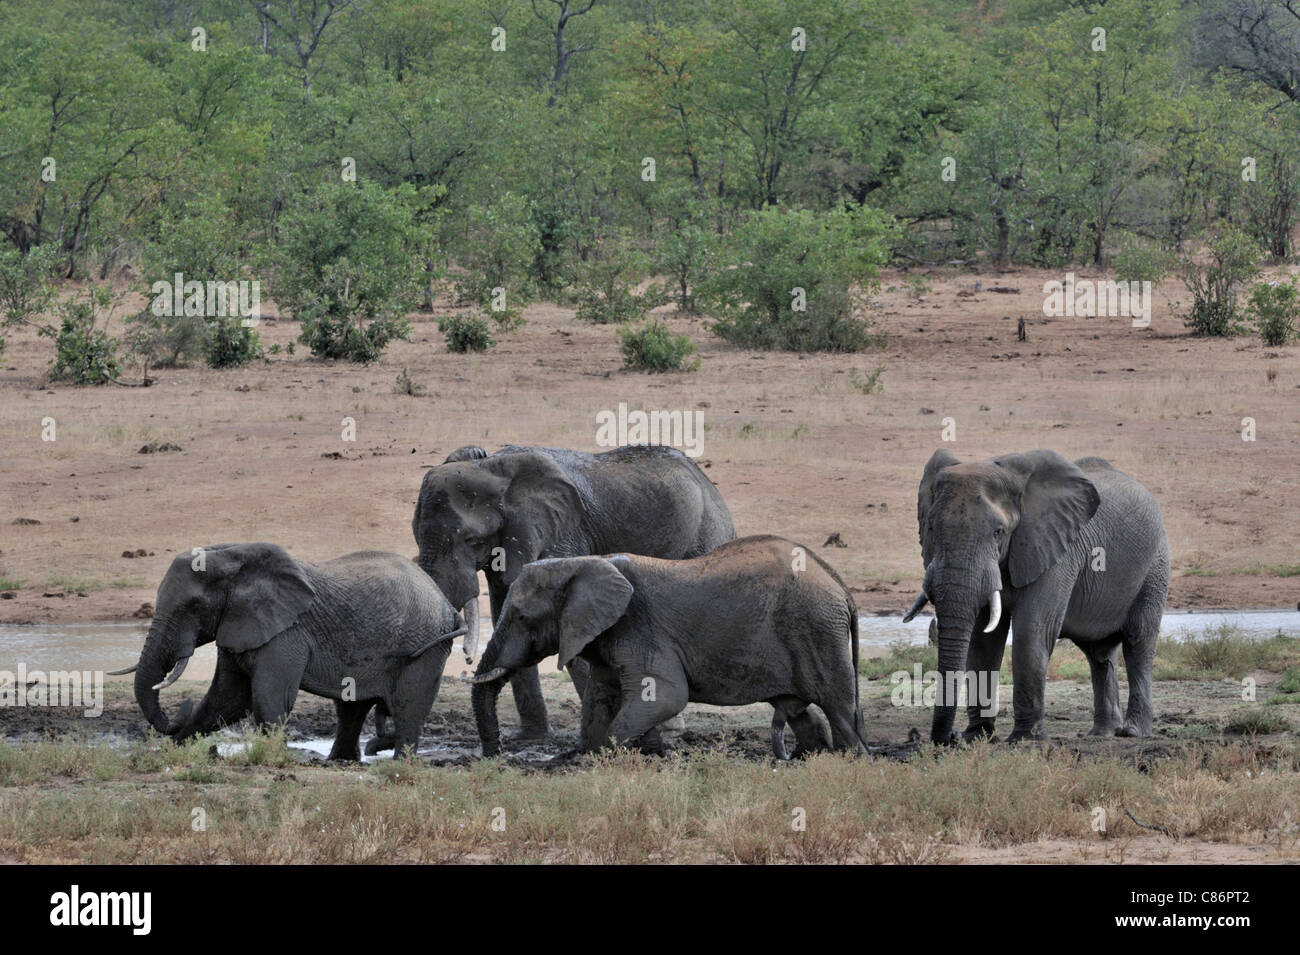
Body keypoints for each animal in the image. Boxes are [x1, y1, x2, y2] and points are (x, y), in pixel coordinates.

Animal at [110, 543, 466, 760]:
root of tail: (446, 604)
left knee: (408, 707)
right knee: (351, 708)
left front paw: (273, 757)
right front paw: (175, 750)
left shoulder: (285, 632)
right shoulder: (240, 625)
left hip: (426, 647)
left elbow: (267, 698)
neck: (233, 556)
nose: (181, 705)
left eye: (194, 607)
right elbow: (227, 699)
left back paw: (398, 763)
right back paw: (340, 761)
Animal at [411, 443, 735, 743]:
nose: (466, 660)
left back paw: (669, 730)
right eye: (416, 533)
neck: (491, 466)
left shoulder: (563, 533)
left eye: (473, 540)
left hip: (706, 536)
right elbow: (505, 606)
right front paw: (531, 739)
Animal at [469, 535, 869, 758]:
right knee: (801, 710)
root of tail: (840, 585)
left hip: (817, 630)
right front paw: (589, 756)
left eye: (522, 616)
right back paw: (807, 759)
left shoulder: (639, 627)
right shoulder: (607, 634)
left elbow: (664, 695)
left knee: (839, 708)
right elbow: (601, 696)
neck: (582, 564)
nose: (495, 756)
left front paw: (602, 757)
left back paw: (850, 760)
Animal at [902, 449, 1169, 744]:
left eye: (998, 532)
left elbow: (1032, 632)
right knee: (1098, 654)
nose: (950, 737)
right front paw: (977, 736)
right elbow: (982, 641)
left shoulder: (1057, 549)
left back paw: (1132, 731)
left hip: (1155, 565)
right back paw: (1102, 733)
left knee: (1138, 642)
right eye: (931, 529)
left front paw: (1024, 739)